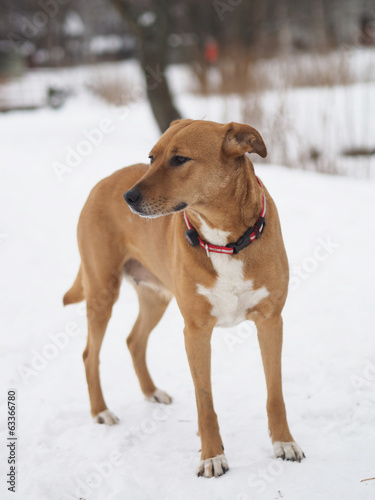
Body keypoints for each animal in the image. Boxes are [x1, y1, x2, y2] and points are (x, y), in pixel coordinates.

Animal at [64, 119, 306, 478]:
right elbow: (205, 401)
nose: (128, 197)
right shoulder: (196, 331)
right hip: (102, 292)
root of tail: (104, 182)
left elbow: (275, 393)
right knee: (89, 354)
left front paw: (283, 442)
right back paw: (101, 411)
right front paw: (212, 456)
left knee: (134, 340)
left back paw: (151, 392)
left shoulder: (270, 321)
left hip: (156, 296)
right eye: (151, 158)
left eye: (179, 159)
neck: (225, 240)